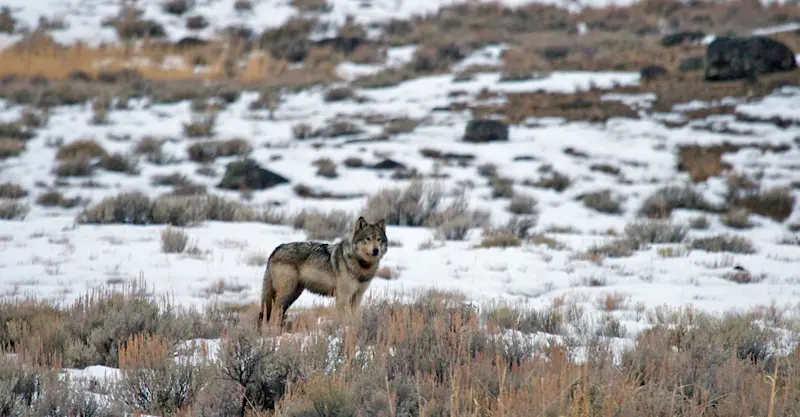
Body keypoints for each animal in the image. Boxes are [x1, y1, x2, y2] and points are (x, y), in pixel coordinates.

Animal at [258, 216, 390, 331]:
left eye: (379, 239)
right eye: (368, 238)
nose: (376, 250)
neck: (361, 264)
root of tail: (276, 250)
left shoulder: (357, 297)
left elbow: (355, 317)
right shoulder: (343, 298)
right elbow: (346, 319)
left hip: (293, 295)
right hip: (287, 293)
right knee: (274, 313)